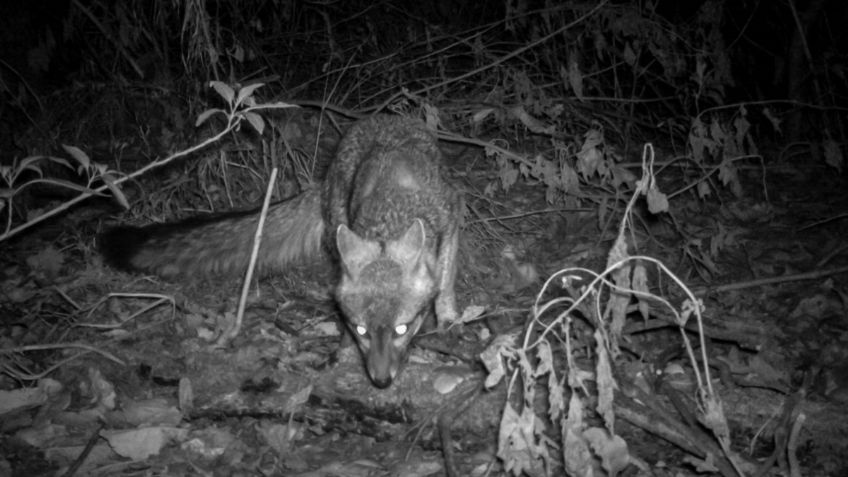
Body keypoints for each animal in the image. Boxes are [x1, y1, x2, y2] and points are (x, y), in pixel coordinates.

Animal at [105, 114, 468, 386]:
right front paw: (343, 349)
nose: (380, 381)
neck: (395, 205)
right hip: (337, 221)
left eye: (402, 329)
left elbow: (444, 282)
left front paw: (448, 318)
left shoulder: (452, 218)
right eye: (362, 330)